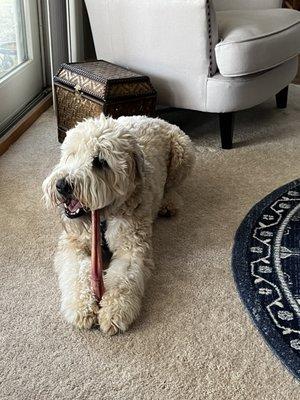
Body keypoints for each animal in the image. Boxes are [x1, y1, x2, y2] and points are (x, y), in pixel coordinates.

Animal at [42, 114, 195, 336]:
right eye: (71, 153)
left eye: (100, 162)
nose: (62, 185)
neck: (102, 218)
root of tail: (155, 118)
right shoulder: (73, 245)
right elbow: (78, 272)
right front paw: (81, 308)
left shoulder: (131, 248)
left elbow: (122, 280)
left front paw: (113, 312)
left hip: (184, 154)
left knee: (172, 186)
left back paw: (169, 203)